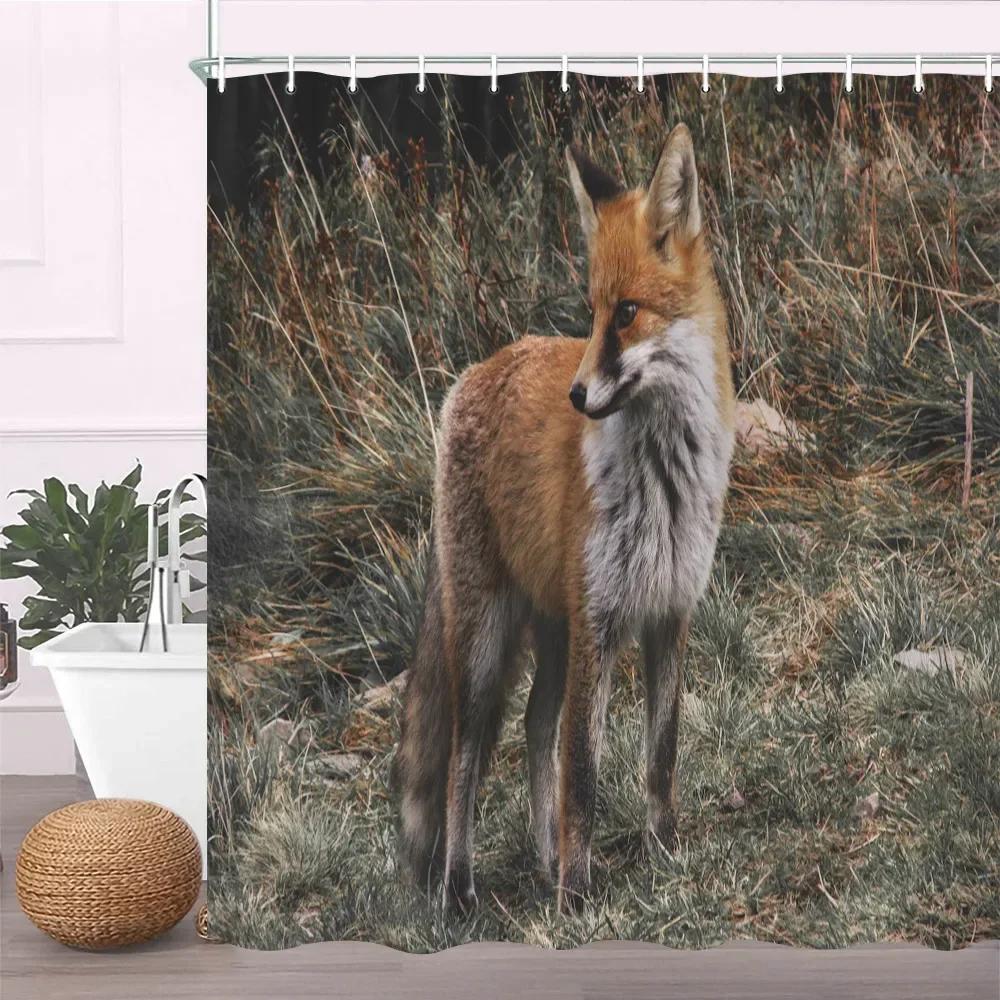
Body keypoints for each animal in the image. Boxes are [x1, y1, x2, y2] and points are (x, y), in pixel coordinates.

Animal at [394, 123, 735, 913]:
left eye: (628, 312)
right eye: (591, 310)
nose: (577, 396)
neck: (663, 478)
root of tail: (476, 370)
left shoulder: (669, 613)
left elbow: (660, 755)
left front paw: (662, 853)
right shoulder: (600, 621)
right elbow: (582, 773)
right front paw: (577, 897)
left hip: (550, 632)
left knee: (532, 730)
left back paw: (543, 859)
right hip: (488, 641)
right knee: (463, 758)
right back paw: (460, 887)